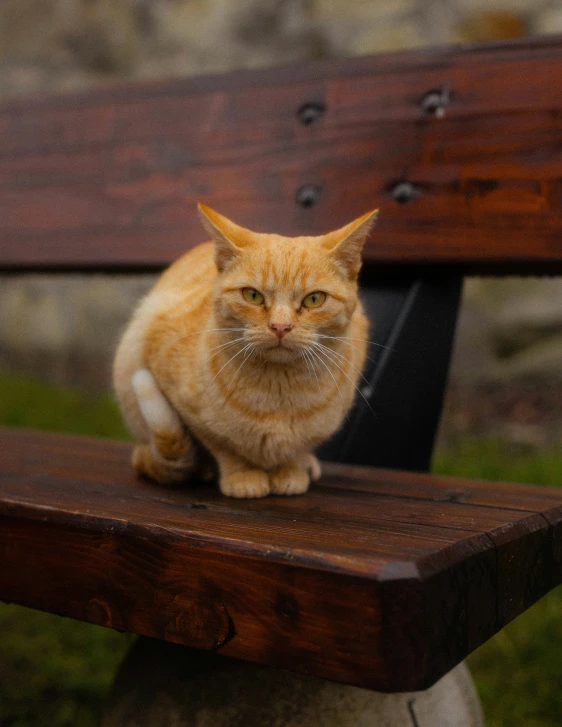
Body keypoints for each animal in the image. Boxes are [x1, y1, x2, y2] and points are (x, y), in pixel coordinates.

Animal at [112, 206, 376, 500]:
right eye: (252, 295)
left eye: (314, 299)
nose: (280, 326)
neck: (278, 392)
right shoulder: (188, 408)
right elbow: (224, 446)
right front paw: (242, 476)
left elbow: (300, 448)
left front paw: (292, 470)